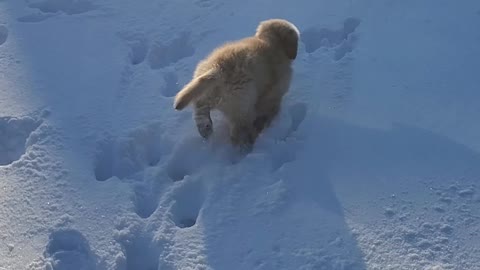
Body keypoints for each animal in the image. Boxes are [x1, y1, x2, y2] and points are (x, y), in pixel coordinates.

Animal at [172, 18, 300, 150]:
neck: (271, 42)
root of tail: (219, 68)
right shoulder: (272, 95)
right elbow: (268, 110)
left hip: (204, 92)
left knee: (200, 109)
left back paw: (205, 128)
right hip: (242, 106)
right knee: (239, 131)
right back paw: (245, 147)